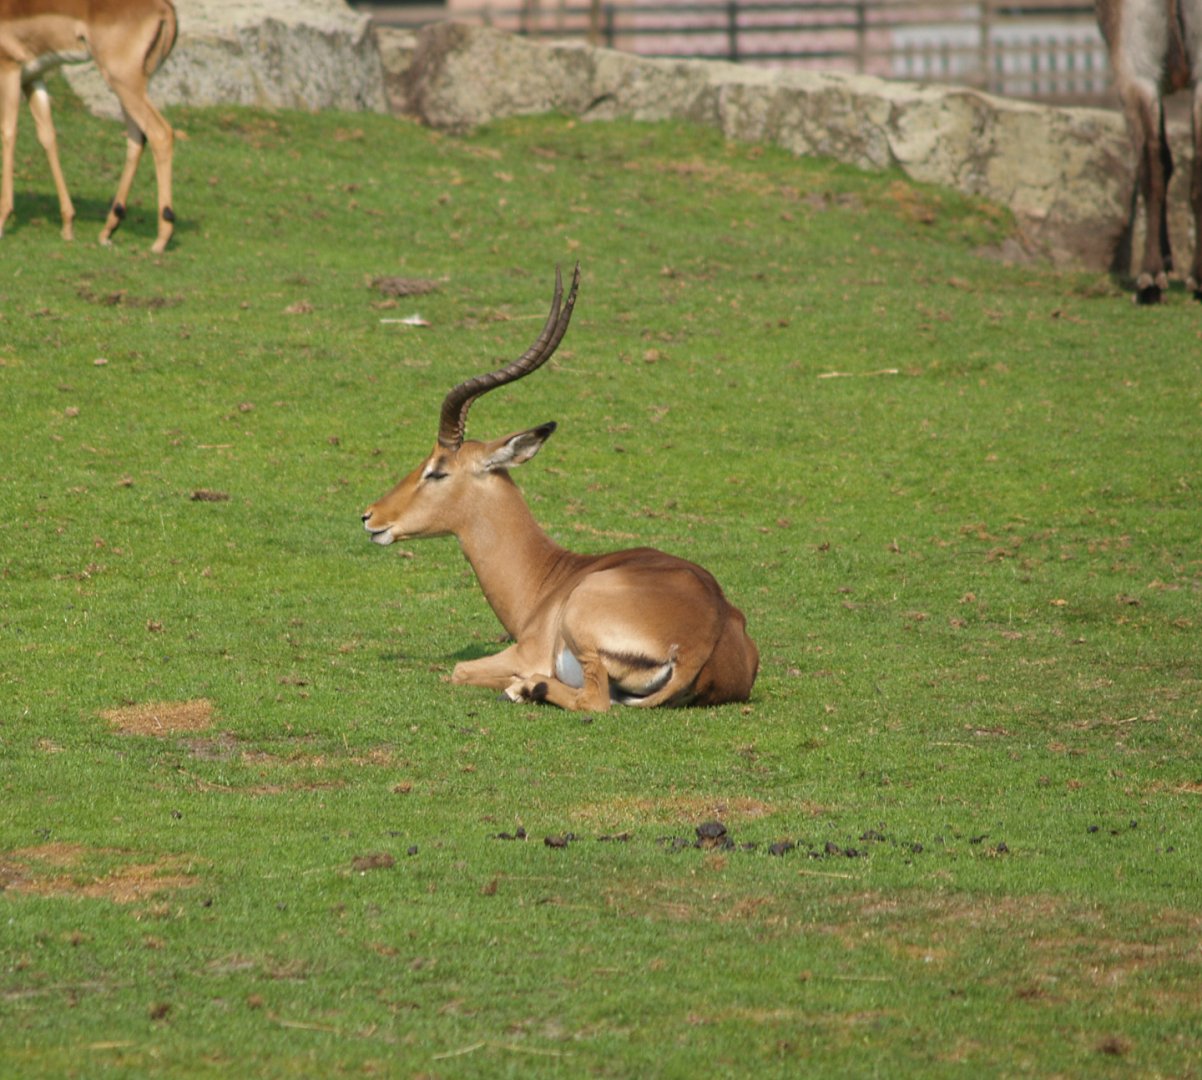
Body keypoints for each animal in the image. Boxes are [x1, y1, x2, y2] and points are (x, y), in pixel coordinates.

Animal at [0, 0, 177, 253]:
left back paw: (161, 239)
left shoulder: (10, 70)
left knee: (160, 133)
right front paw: (68, 224)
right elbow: (47, 137)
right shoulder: (33, 77)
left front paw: (3, 220)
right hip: (130, 86)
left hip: (123, 82)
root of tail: (164, 7)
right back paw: (108, 230)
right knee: (137, 139)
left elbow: (9, 132)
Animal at [361, 266, 759, 712]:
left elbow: (460, 669)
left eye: (437, 470)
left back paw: (523, 689)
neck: (548, 581)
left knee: (593, 700)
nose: (370, 516)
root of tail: (702, 639)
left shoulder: (524, 652)